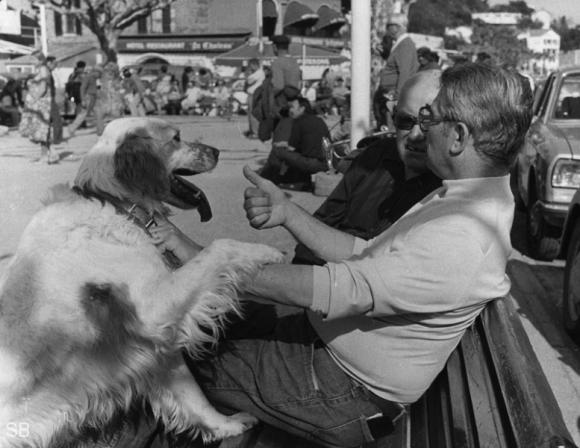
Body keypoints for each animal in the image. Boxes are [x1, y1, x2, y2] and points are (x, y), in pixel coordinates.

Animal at [0, 117, 284, 446]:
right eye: (176, 137)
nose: (215, 151)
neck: (114, 205)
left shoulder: (152, 345)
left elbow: (194, 398)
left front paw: (226, 426)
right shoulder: (153, 310)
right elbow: (221, 246)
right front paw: (266, 252)